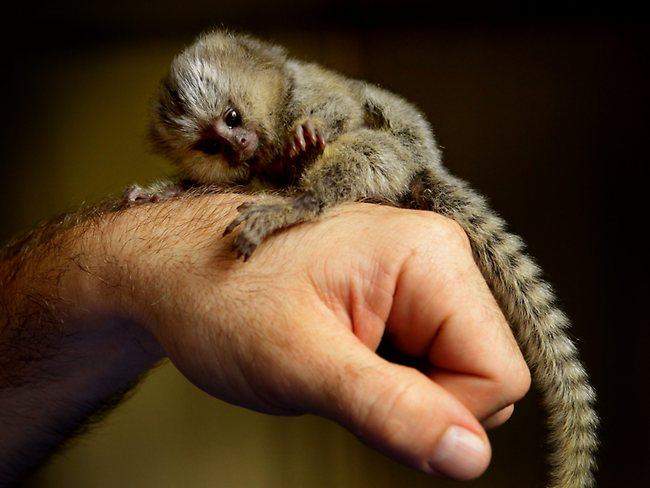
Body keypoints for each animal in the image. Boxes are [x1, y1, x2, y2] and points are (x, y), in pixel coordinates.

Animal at [127, 30, 598, 488]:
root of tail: (421, 170)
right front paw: (160, 192)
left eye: (233, 118)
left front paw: (308, 134)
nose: (236, 145)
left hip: (397, 156)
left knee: (363, 146)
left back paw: (298, 204)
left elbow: (340, 109)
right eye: (210, 145)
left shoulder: (303, 92)